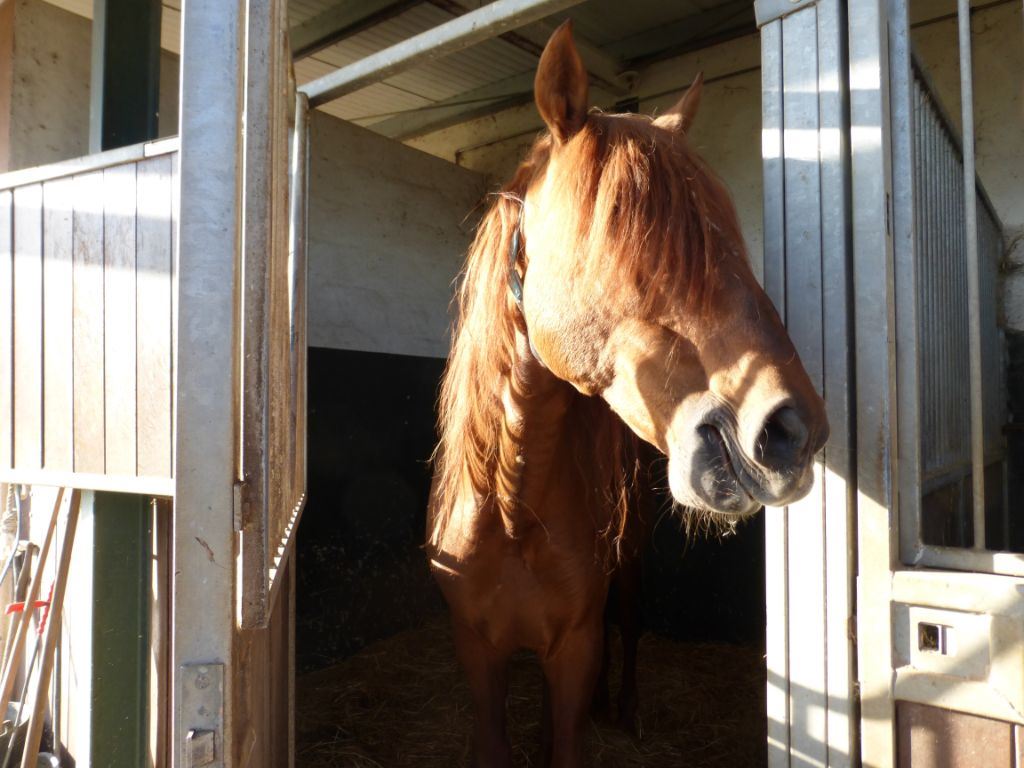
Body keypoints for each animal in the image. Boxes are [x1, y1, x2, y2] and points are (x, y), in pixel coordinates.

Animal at [427, 21, 828, 768]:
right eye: (625, 236)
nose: (792, 431)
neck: (511, 511)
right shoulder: (477, 654)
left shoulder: (574, 645)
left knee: (631, 621)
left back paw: (627, 708)